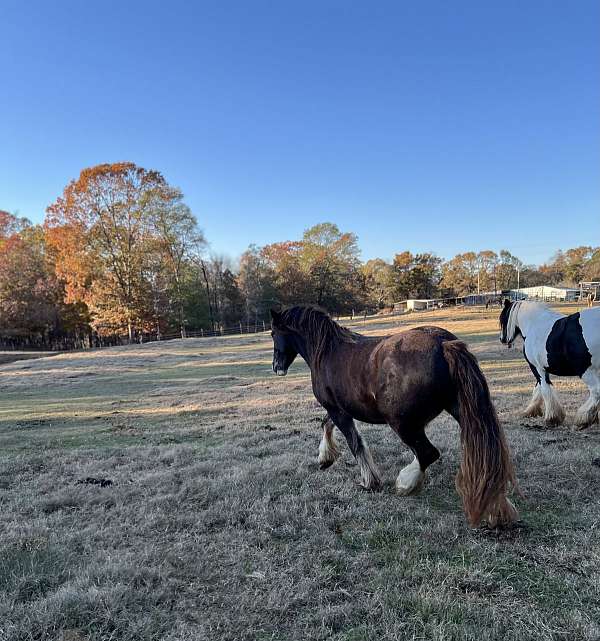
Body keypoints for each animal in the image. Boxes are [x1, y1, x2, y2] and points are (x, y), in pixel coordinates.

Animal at [270, 304, 516, 524]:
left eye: (273, 333)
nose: (276, 367)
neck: (328, 351)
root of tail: (443, 343)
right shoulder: (339, 409)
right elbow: (326, 425)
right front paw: (325, 458)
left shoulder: (337, 410)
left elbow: (354, 443)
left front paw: (369, 481)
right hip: (462, 412)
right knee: (485, 453)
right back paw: (496, 505)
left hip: (403, 424)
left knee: (427, 453)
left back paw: (405, 483)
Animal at [496, 298, 600, 428]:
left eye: (502, 319)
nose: (502, 339)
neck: (533, 324)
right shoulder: (542, 369)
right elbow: (538, 389)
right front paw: (531, 411)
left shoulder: (536, 367)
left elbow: (545, 389)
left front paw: (552, 418)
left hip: (586, 372)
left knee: (596, 392)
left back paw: (583, 418)